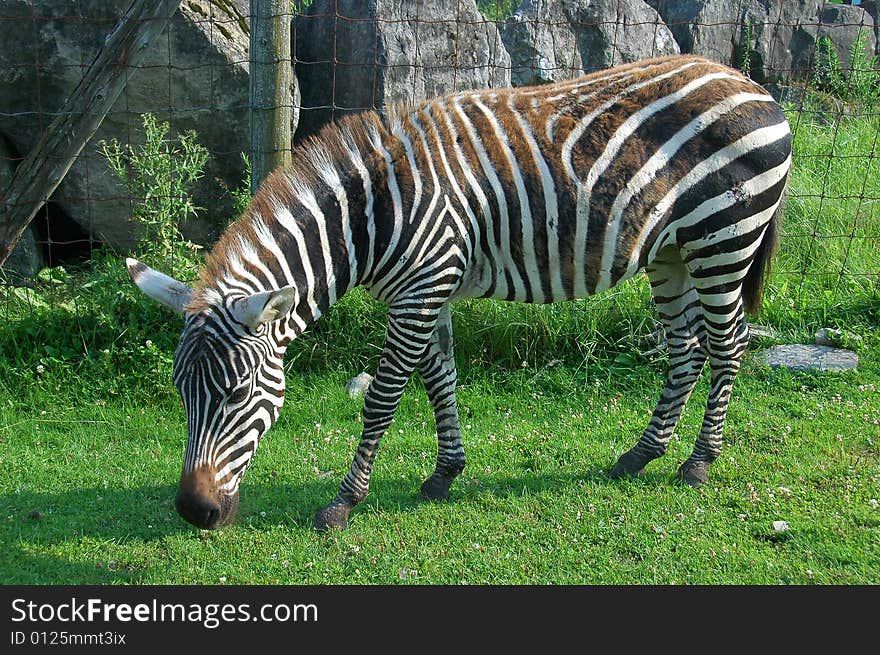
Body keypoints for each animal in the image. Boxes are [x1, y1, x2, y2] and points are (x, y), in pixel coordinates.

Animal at [127, 56, 796, 532]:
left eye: (237, 393)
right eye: (181, 391)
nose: (193, 513)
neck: (372, 214)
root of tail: (747, 80)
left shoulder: (422, 289)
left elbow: (383, 400)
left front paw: (344, 504)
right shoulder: (430, 289)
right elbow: (439, 380)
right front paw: (444, 474)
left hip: (722, 239)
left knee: (728, 345)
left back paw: (698, 462)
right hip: (671, 253)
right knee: (685, 351)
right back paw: (641, 453)